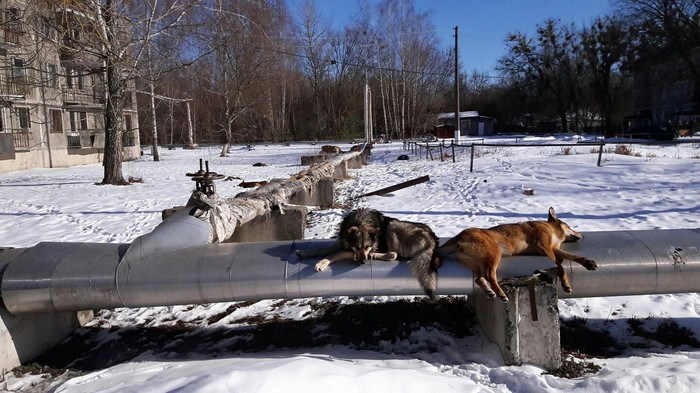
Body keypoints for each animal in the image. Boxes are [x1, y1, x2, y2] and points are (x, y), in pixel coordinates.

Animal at [296, 208, 442, 298]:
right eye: (357, 246)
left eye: (367, 246)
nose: (363, 262)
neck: (360, 221)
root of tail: (432, 238)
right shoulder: (342, 243)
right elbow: (321, 249)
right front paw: (304, 252)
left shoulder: (351, 252)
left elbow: (333, 255)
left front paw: (321, 263)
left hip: (393, 225)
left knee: (393, 255)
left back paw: (375, 255)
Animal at [438, 207, 596, 302]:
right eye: (570, 227)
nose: (583, 235)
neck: (550, 229)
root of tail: (459, 235)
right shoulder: (544, 247)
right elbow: (560, 265)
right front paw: (565, 283)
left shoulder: (554, 249)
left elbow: (571, 257)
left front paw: (588, 263)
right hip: (494, 254)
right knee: (489, 275)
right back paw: (501, 294)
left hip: (478, 262)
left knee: (478, 278)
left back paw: (490, 292)